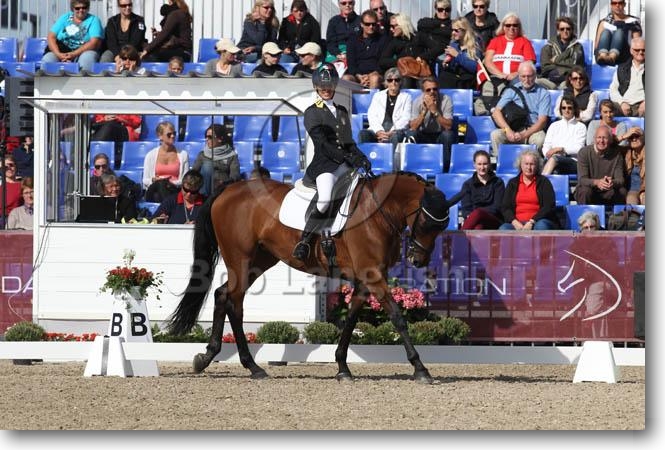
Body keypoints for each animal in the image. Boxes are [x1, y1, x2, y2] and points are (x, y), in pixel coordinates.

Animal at [167, 171, 451, 383]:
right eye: (426, 223)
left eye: (441, 227)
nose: (418, 260)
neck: (377, 211)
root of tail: (228, 189)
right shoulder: (373, 276)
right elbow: (397, 318)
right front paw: (420, 368)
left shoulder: (364, 279)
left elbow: (350, 320)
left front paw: (342, 368)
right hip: (241, 258)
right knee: (234, 302)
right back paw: (251, 367)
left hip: (259, 261)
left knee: (223, 295)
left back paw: (210, 358)